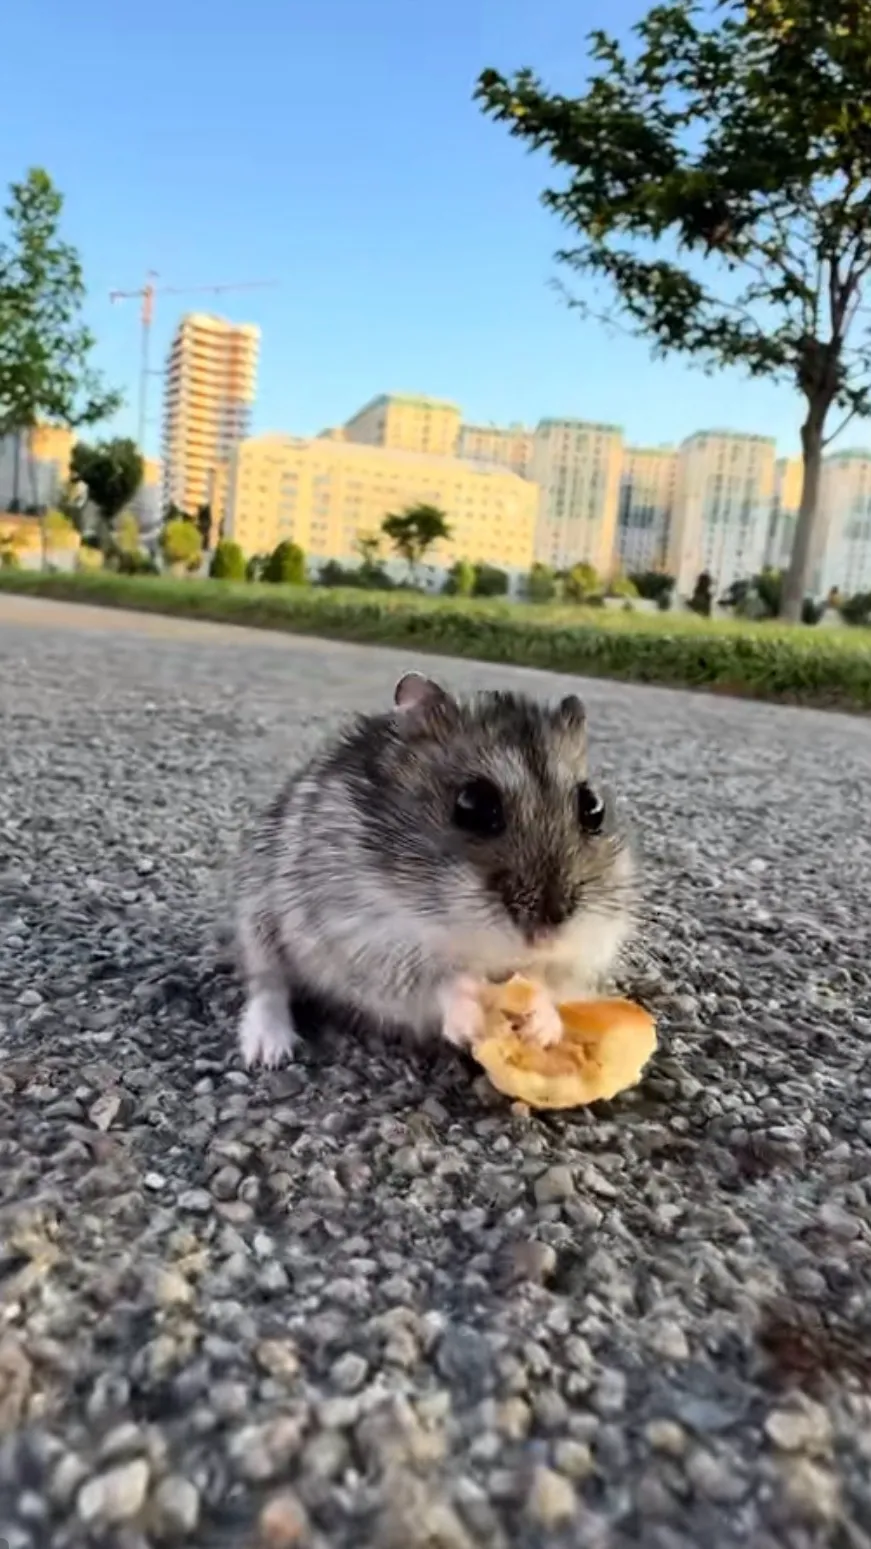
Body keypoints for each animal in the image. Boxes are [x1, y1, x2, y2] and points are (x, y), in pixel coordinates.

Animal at [235, 671, 636, 1068]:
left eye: (593, 807)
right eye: (473, 805)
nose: (545, 938)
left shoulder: (590, 947)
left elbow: (550, 984)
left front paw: (542, 1027)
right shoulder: (364, 938)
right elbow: (439, 982)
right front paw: (469, 1019)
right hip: (258, 918)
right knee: (267, 984)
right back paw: (267, 1050)